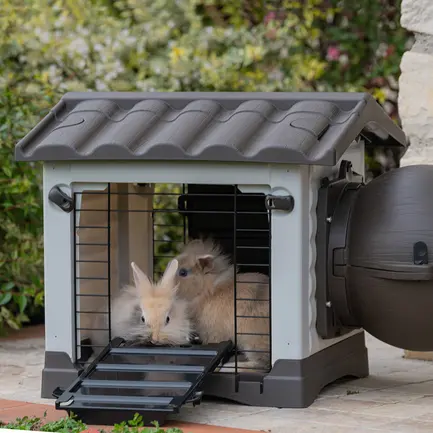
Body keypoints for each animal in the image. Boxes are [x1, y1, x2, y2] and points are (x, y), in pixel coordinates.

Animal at [173, 236, 268, 372]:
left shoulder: (215, 334)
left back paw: (229, 367)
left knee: (262, 364)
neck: (208, 292)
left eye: (183, 272)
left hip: (253, 341)